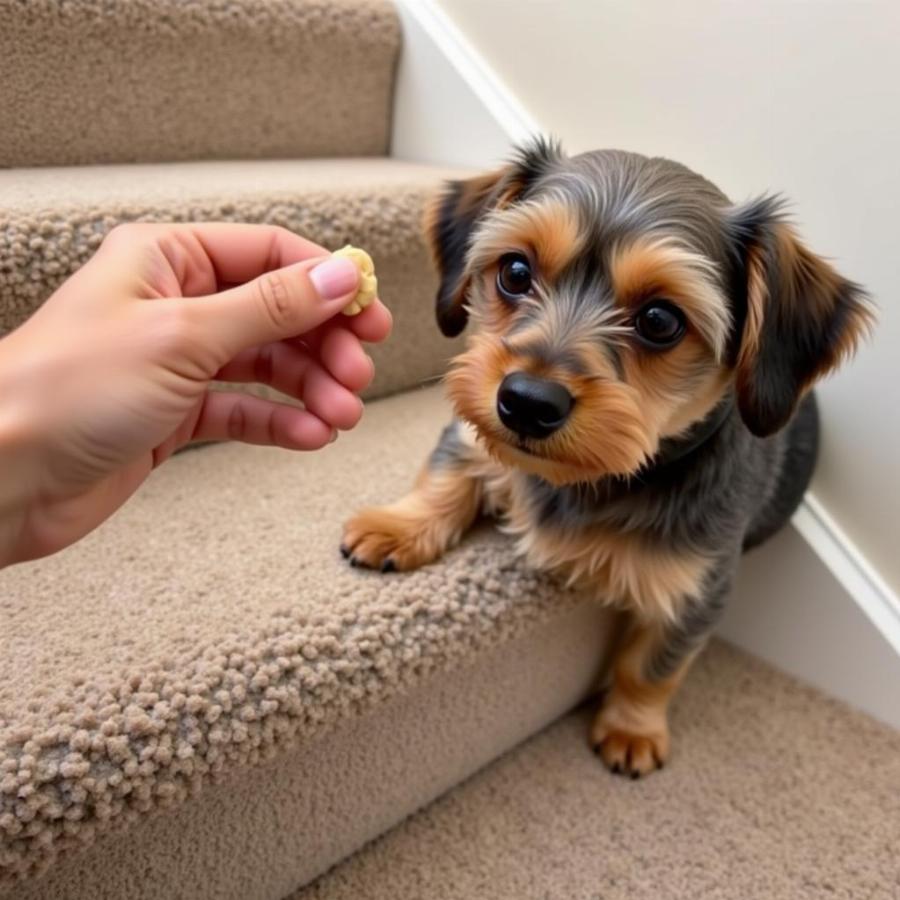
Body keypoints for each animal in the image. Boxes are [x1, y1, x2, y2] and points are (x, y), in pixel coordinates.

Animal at [340, 137, 872, 776]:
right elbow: (446, 473)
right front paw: (396, 526)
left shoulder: (696, 587)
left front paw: (632, 729)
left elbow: (651, 667)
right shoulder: (471, 436)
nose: (526, 403)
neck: (588, 478)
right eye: (515, 272)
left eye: (661, 320)